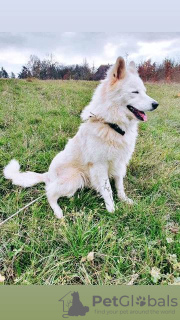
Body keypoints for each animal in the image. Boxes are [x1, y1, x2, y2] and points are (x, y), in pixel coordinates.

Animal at [3, 57, 159, 218]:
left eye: (144, 92)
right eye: (135, 92)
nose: (156, 104)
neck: (111, 125)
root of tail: (48, 175)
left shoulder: (119, 163)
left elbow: (119, 185)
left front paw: (125, 200)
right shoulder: (100, 166)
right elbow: (108, 190)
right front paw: (112, 209)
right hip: (75, 178)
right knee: (50, 193)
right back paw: (58, 212)